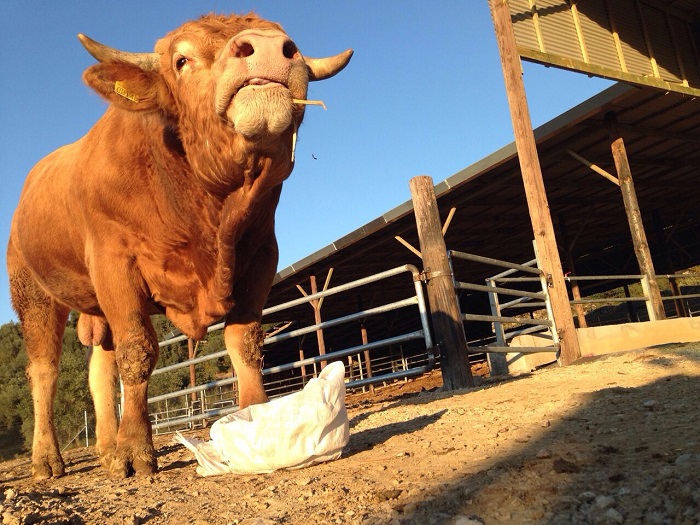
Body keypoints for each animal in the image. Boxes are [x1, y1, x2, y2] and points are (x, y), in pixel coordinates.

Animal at [6, 12, 350, 478]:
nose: (267, 45)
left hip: (96, 306)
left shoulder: (261, 255)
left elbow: (245, 343)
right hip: (35, 295)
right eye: (181, 60)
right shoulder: (116, 262)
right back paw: (48, 458)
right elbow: (138, 351)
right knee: (45, 372)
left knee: (100, 369)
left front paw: (257, 417)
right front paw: (136, 450)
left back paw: (107, 447)